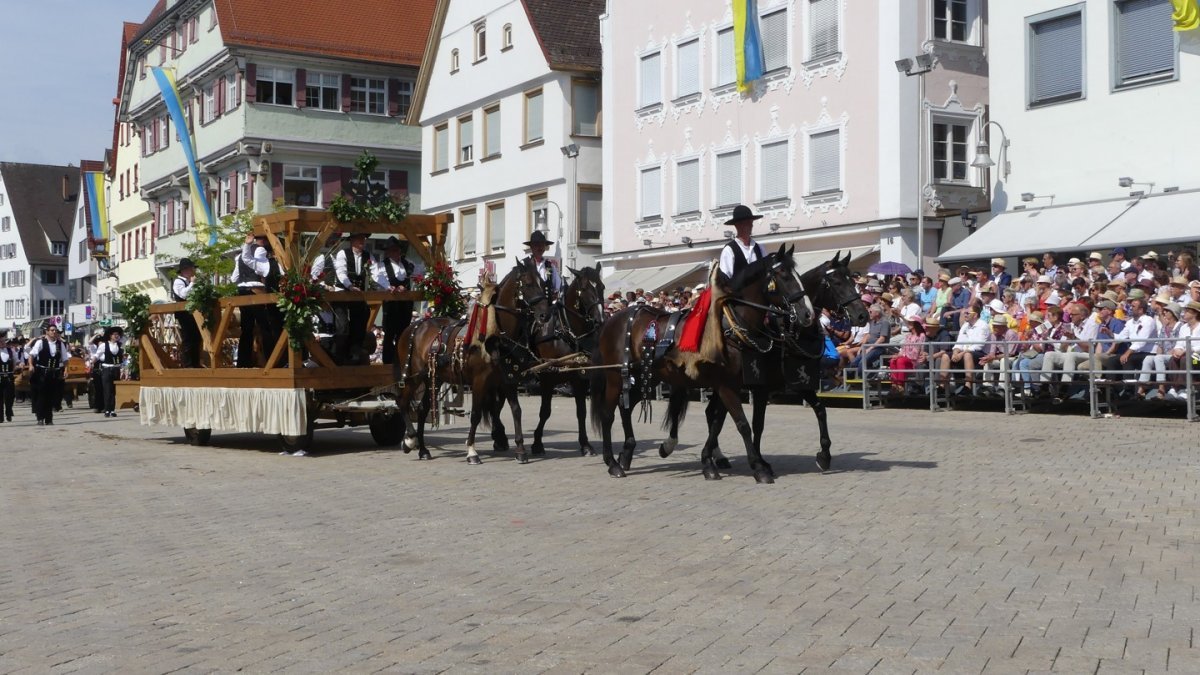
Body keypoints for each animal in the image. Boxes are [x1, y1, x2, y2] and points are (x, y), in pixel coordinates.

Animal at [393, 259, 552, 464]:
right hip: (414, 376)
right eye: (528, 284)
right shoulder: (480, 381)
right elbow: (476, 414)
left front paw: (520, 450)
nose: (545, 315)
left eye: (543, 283)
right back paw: (410, 440)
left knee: (422, 409)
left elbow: (516, 410)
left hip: (433, 378)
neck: (495, 335)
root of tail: (415, 325)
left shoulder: (508, 380)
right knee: (402, 402)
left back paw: (423, 450)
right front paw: (471, 451)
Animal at [528, 263, 606, 458]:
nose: (600, 320)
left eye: (601, 287)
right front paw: (537, 443)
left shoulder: (579, 378)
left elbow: (581, 412)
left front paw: (585, 445)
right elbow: (545, 412)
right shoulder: (547, 378)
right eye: (584, 289)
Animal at [589, 244, 814, 483]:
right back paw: (613, 463)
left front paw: (709, 462)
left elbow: (717, 423)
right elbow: (742, 424)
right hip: (615, 376)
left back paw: (626, 454)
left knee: (626, 407)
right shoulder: (725, 385)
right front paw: (758, 468)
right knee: (607, 414)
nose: (808, 314)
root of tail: (612, 320)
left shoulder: (731, 385)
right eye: (783, 275)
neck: (729, 326)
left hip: (645, 377)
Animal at [669, 251, 869, 479]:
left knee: (712, 415)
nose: (862, 315)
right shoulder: (761, 387)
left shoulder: (797, 382)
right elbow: (755, 423)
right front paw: (759, 463)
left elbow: (819, 409)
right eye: (836, 282)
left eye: (852, 279)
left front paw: (824, 456)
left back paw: (715, 457)